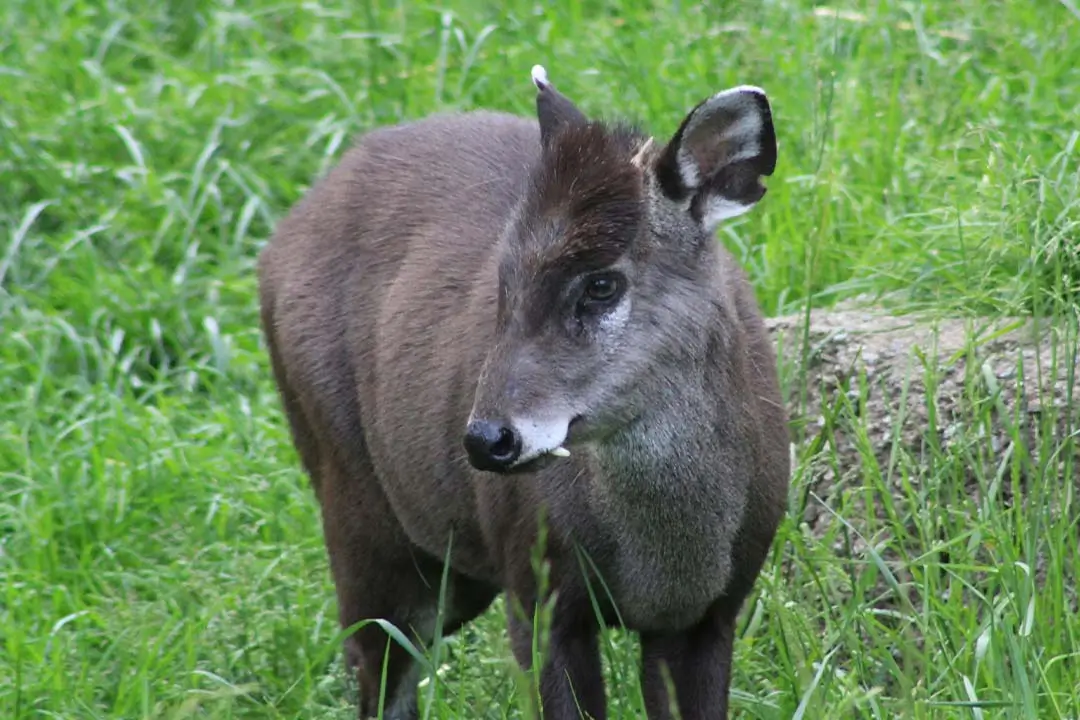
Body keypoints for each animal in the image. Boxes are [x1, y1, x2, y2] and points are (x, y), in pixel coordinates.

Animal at [257, 63, 790, 720]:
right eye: (503, 280)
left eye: (601, 284)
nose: (488, 440)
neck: (663, 562)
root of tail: (275, 243)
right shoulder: (536, 590)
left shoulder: (711, 612)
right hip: (356, 501)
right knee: (375, 663)